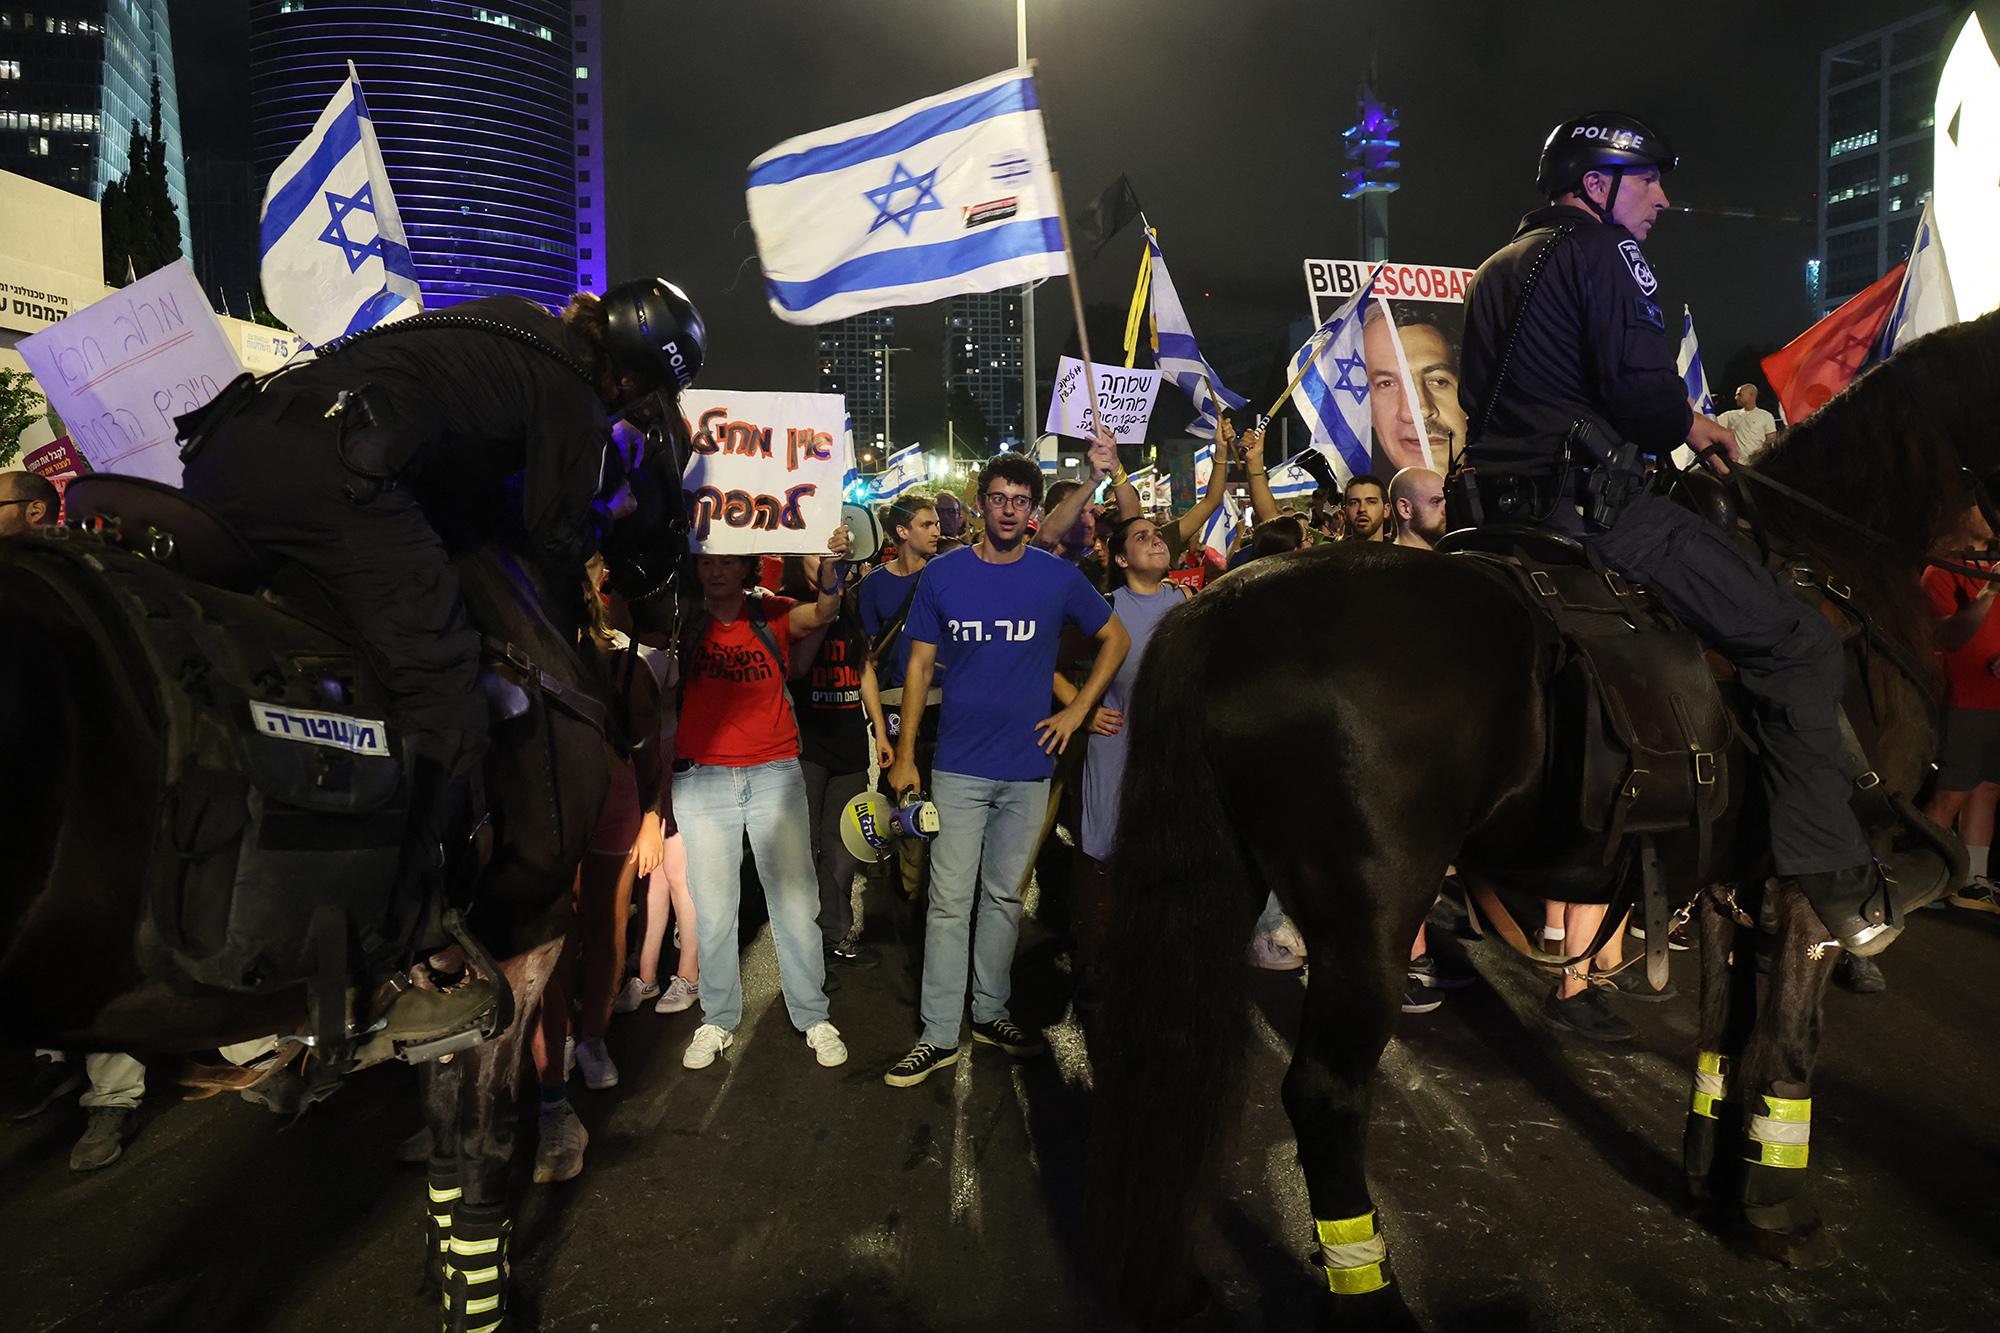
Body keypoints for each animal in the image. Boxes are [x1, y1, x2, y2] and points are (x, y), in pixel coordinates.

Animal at [1096, 314, 2000, 1328]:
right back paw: (1370, 1292)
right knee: (1325, 1096)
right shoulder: (1820, 877)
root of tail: (1217, 606)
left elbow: (1728, 1031)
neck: (1839, 559)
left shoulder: (1731, 876)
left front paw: (1712, 1180)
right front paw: (1778, 1212)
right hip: (1370, 914)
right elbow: (1791, 1041)